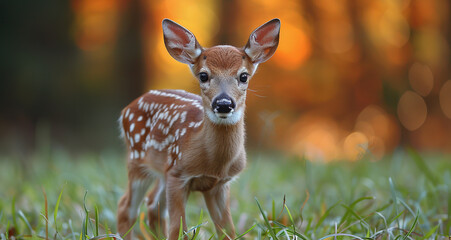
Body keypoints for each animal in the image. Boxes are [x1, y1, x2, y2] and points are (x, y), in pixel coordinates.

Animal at [117, 17, 278, 239]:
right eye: (203, 75)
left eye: (243, 76)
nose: (223, 103)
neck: (213, 163)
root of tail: (126, 109)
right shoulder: (178, 174)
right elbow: (178, 230)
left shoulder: (219, 184)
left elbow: (228, 230)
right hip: (137, 161)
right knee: (126, 207)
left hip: (162, 171)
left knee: (152, 205)